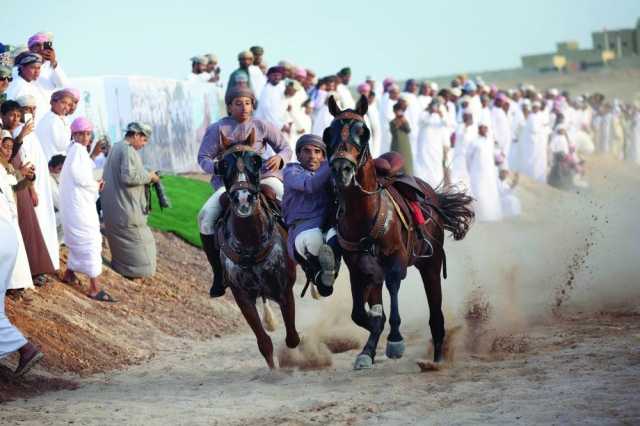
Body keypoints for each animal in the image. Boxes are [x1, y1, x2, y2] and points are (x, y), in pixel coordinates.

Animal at [215, 131, 300, 368]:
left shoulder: (284, 290)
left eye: (256, 161)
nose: (243, 199)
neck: (250, 244)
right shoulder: (242, 297)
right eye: (223, 164)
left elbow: (292, 338)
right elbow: (264, 343)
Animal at [328, 95, 472, 370]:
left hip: (431, 263)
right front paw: (369, 344)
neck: (364, 213)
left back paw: (437, 357)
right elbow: (360, 313)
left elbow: (393, 286)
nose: (342, 169)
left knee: (435, 311)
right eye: (329, 131)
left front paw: (395, 340)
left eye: (363, 132)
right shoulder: (357, 266)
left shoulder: (397, 258)